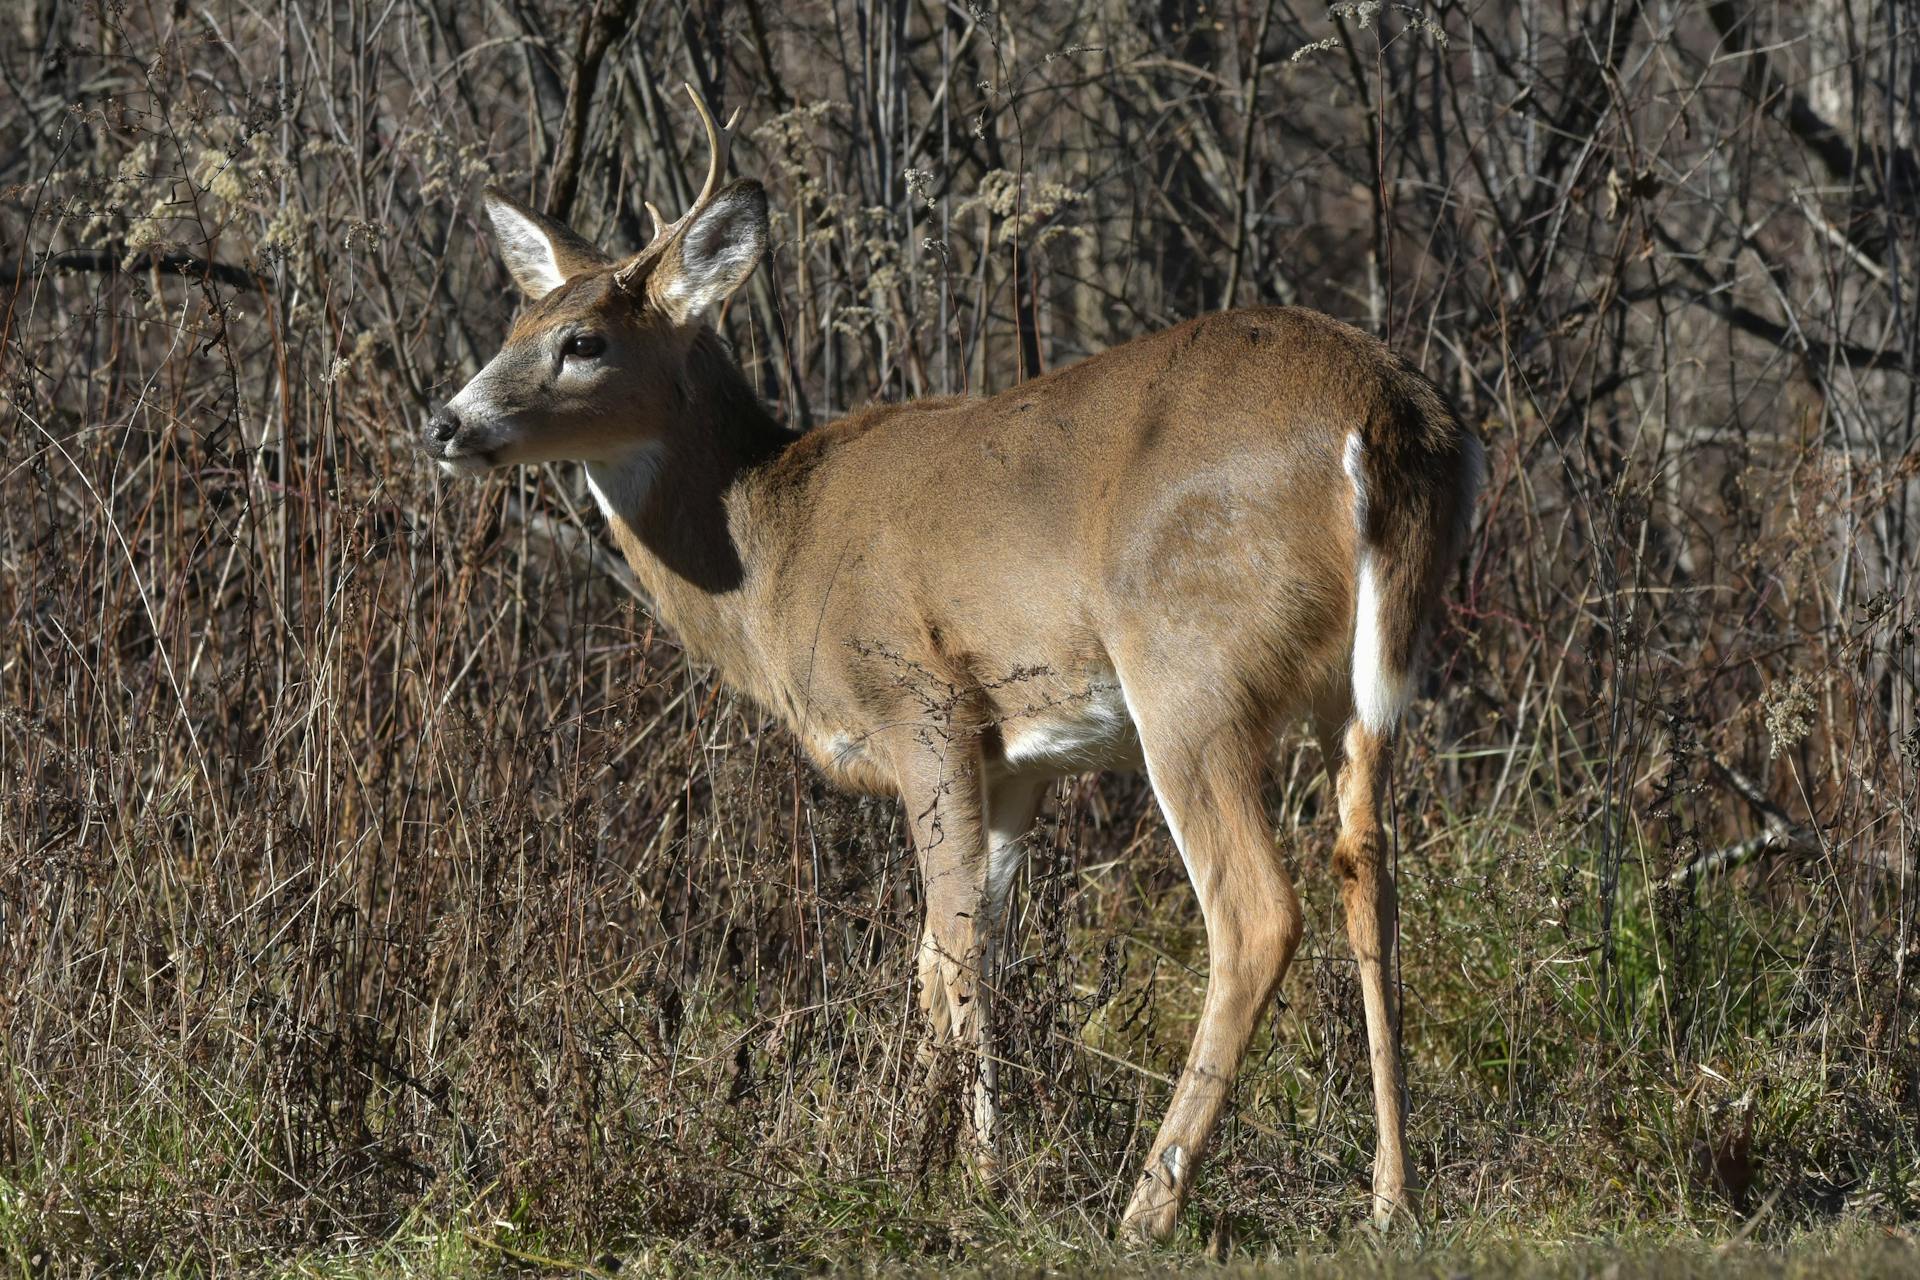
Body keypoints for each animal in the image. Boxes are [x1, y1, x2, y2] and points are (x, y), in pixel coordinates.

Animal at [428, 82, 1482, 1243]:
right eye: (513, 326)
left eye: (583, 341)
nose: (448, 421)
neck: (770, 548)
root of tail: (1383, 417)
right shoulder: (1014, 758)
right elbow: (946, 949)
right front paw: (909, 1154)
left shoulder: (920, 699)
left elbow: (958, 937)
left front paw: (978, 1177)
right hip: (1369, 682)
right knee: (1369, 873)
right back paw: (1391, 1198)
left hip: (1186, 670)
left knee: (1255, 912)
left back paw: (1146, 1206)